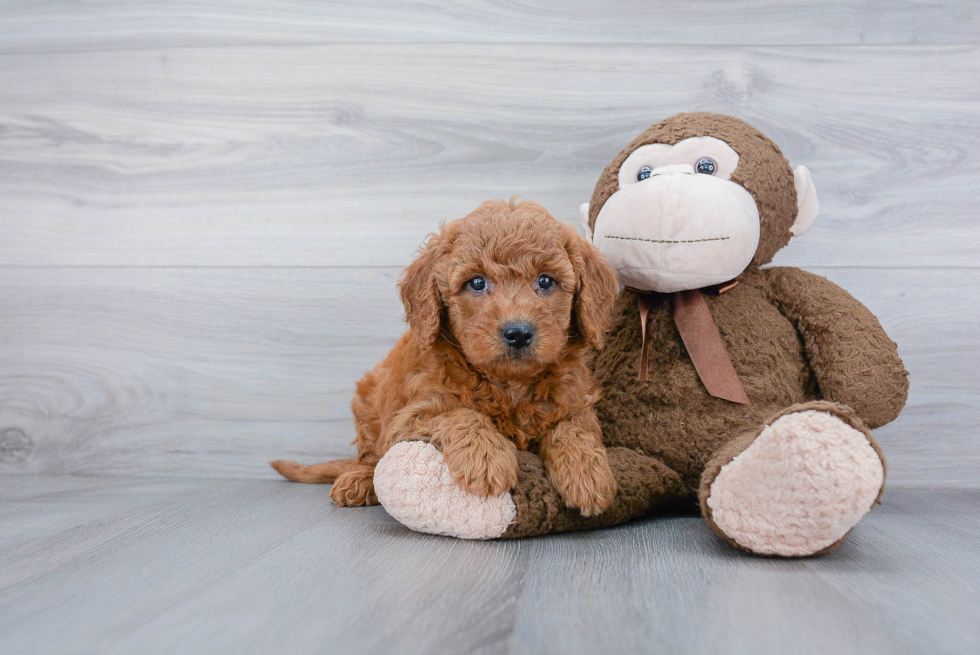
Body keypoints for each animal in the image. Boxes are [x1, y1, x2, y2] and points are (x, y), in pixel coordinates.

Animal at [272, 200, 616, 516]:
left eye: (545, 281)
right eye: (476, 282)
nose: (518, 333)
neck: (509, 384)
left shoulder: (575, 401)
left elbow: (574, 427)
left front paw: (587, 473)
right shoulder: (412, 416)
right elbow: (458, 413)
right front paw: (486, 459)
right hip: (367, 402)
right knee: (372, 456)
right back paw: (359, 480)